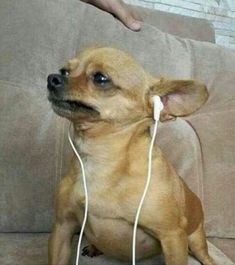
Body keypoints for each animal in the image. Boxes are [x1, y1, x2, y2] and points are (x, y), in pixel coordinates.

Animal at [47, 47, 217, 264]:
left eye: (100, 78)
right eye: (65, 71)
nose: (52, 78)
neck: (100, 158)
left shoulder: (173, 237)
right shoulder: (63, 227)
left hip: (195, 240)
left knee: (203, 254)